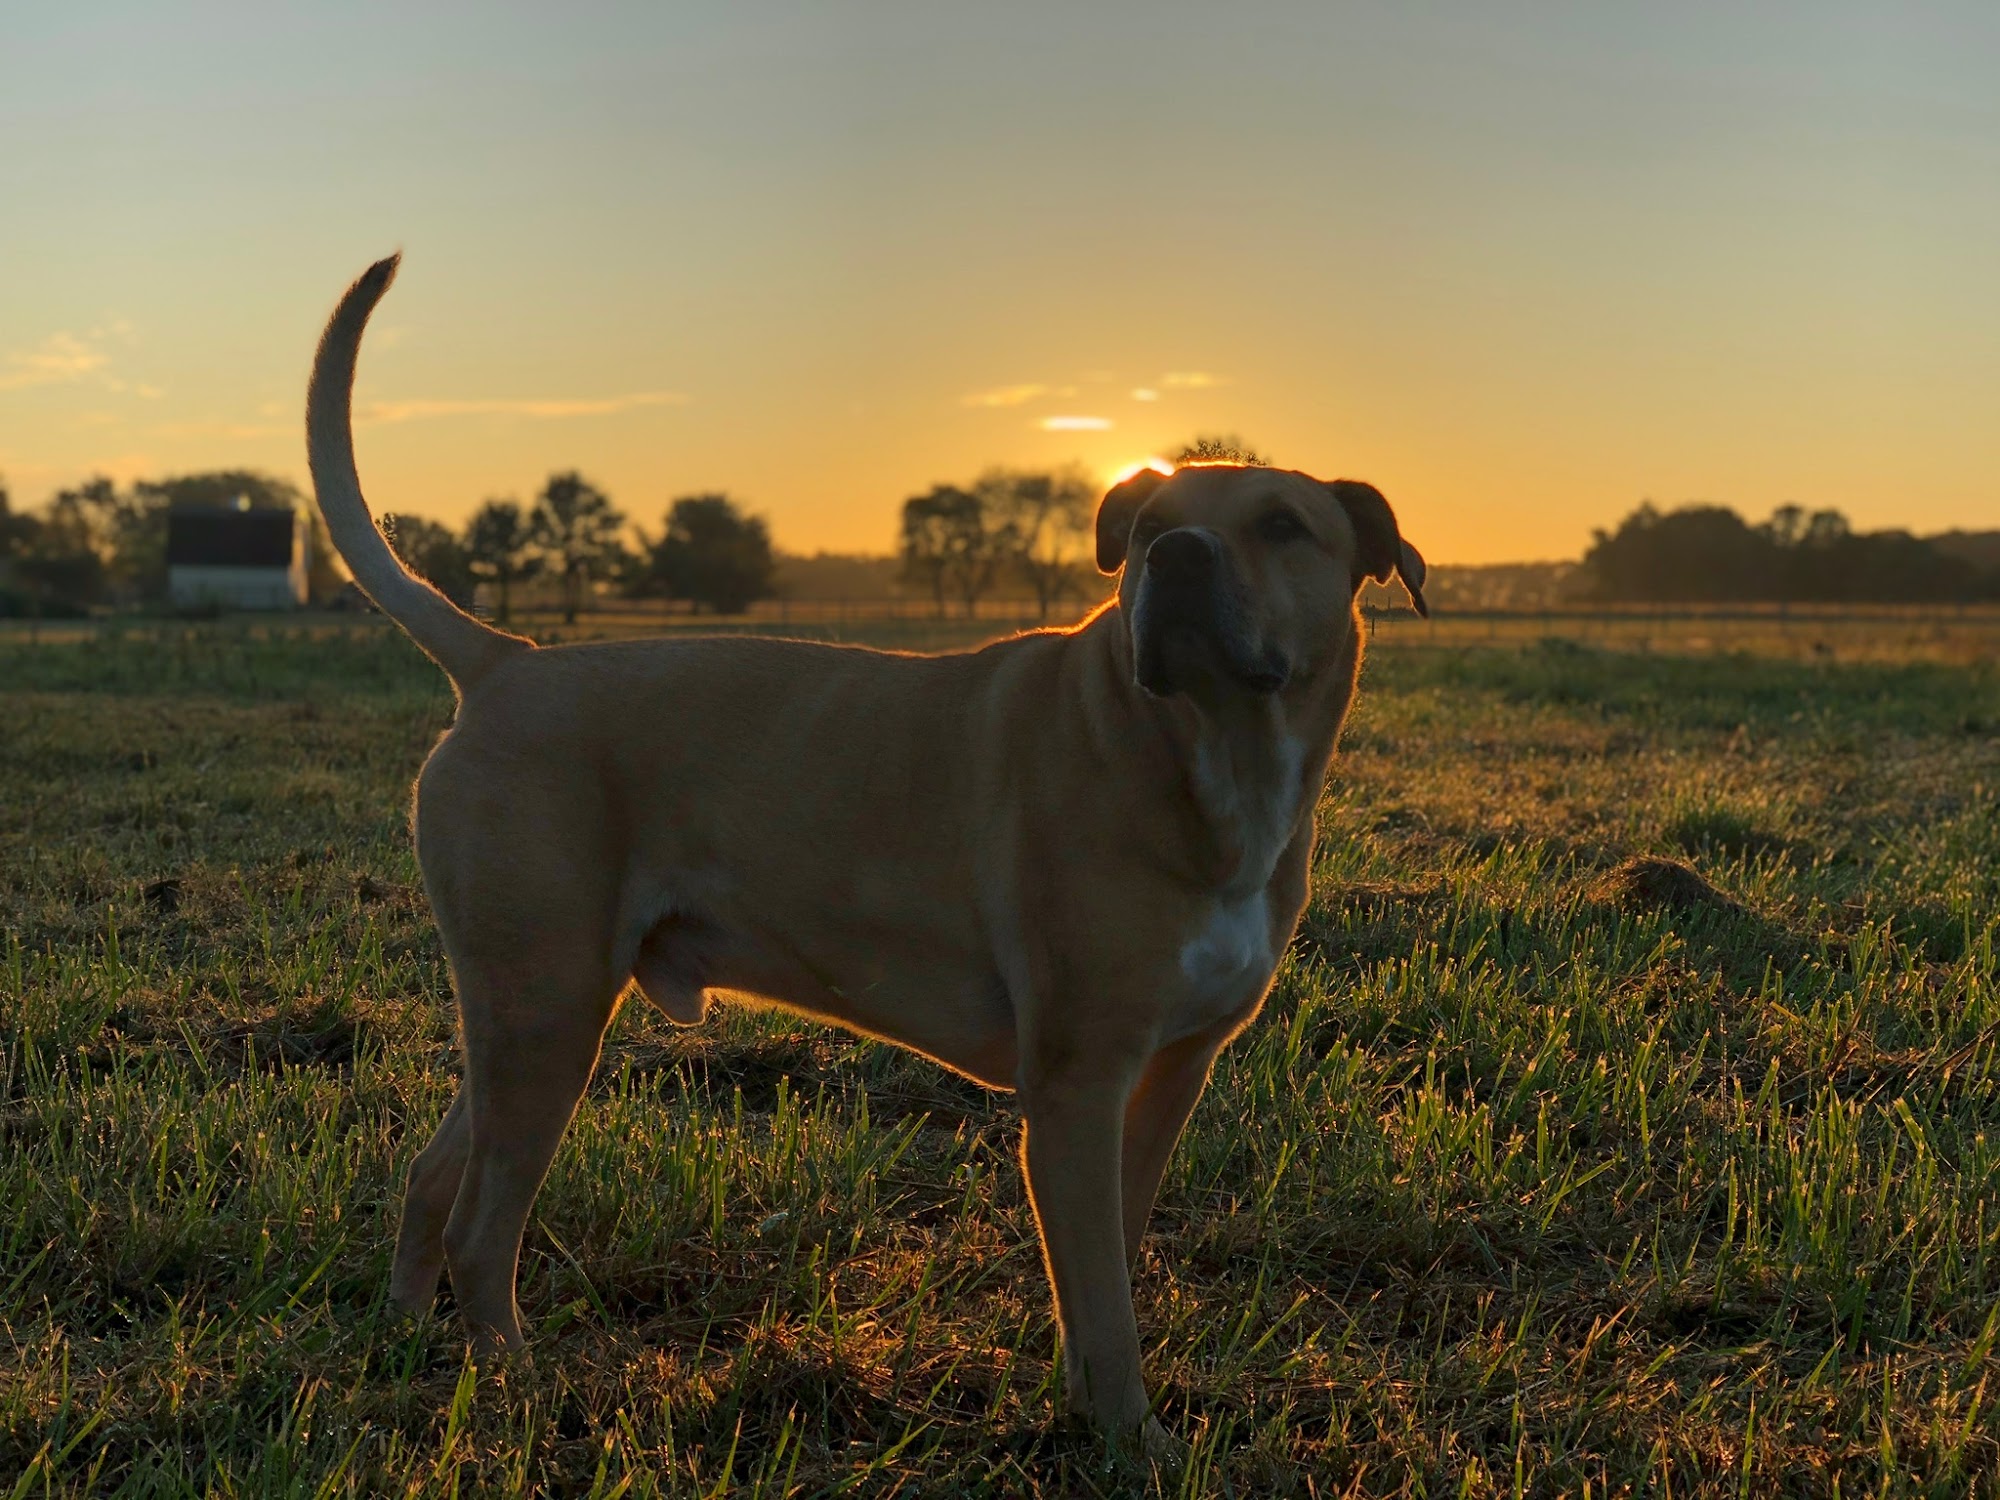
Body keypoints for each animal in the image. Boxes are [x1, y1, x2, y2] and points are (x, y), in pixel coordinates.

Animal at [300, 253, 1424, 1464]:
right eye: (1152, 523)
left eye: (1283, 523)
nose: (1172, 553)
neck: (1206, 752)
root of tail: (506, 661)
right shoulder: (1077, 1088)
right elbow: (1105, 1301)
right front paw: (1130, 1442)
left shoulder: (1170, 1073)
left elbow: (1108, 1271)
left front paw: (1087, 1405)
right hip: (546, 1014)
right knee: (478, 1223)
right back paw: (513, 1382)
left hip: (529, 1015)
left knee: (430, 1180)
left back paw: (404, 1345)